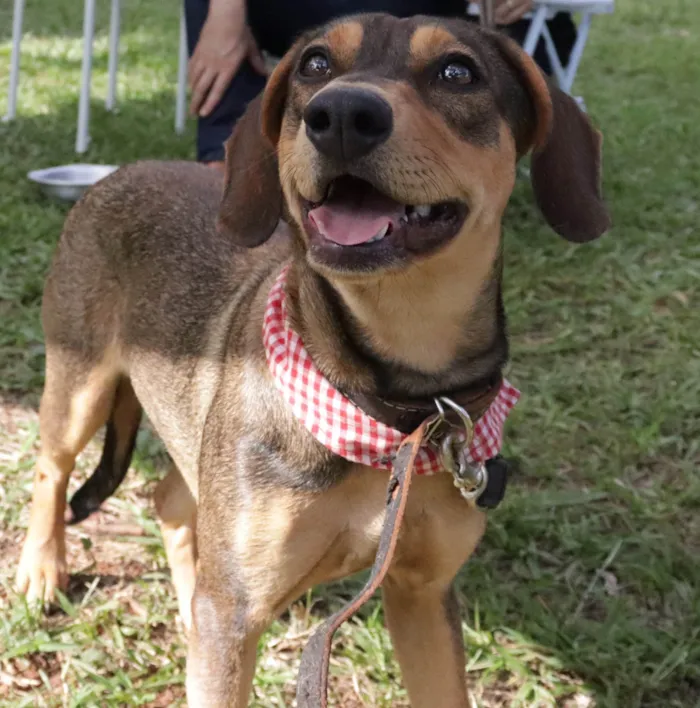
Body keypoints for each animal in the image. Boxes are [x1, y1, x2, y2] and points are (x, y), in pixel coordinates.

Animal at [15, 12, 608, 708]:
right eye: (315, 65)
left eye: (458, 72)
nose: (343, 114)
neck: (395, 406)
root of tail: (118, 172)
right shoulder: (237, 610)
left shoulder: (423, 594)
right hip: (79, 385)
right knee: (52, 469)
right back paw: (41, 570)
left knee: (168, 499)